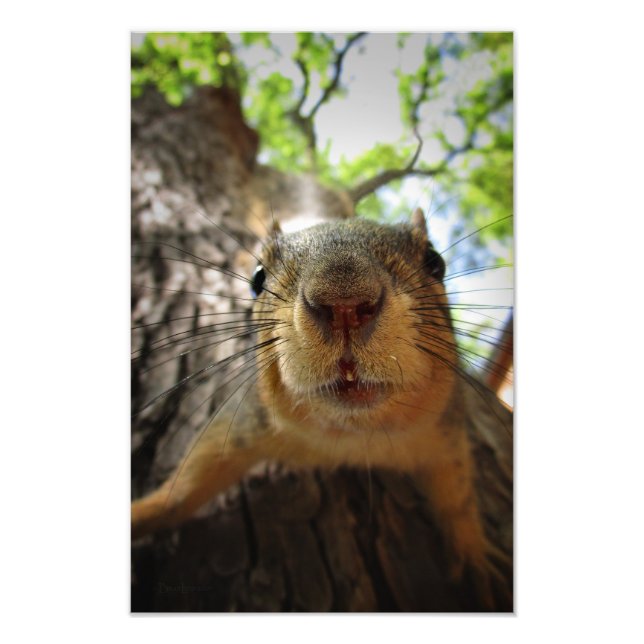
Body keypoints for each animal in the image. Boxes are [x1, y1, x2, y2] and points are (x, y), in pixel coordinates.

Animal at [131, 208, 512, 610]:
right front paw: (142, 514)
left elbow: (457, 494)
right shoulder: (247, 421)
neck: (352, 434)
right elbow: (187, 487)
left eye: (435, 262)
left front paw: (476, 558)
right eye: (257, 278)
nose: (344, 304)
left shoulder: (445, 431)